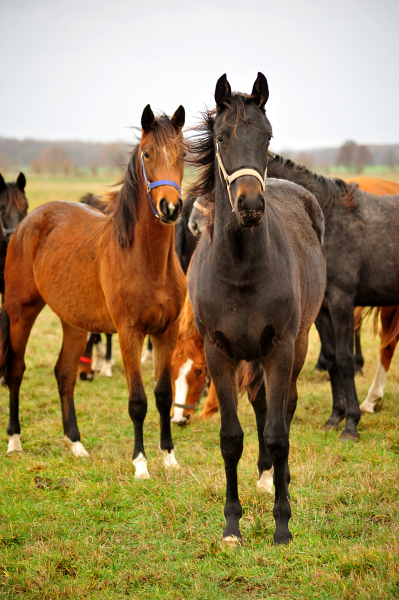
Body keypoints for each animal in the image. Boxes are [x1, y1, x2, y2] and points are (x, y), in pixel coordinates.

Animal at [0, 104, 188, 478]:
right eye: (147, 153)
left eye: (183, 154)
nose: (170, 208)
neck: (146, 261)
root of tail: (27, 223)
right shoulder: (130, 333)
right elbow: (138, 401)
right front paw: (141, 464)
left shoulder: (166, 332)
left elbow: (162, 394)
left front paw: (169, 458)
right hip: (20, 313)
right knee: (16, 370)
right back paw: (14, 441)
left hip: (73, 323)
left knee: (64, 375)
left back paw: (75, 444)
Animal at [189, 74, 326, 544]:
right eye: (222, 137)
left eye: (266, 137)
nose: (250, 206)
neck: (241, 269)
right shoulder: (219, 352)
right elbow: (231, 437)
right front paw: (232, 524)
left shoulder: (280, 349)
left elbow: (280, 434)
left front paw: (282, 523)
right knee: (261, 403)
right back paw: (266, 476)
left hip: (296, 348)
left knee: (282, 409)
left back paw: (277, 480)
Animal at [266, 152, 399, 438]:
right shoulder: (322, 310)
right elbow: (331, 359)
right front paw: (335, 417)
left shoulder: (341, 303)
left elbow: (346, 360)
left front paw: (351, 424)